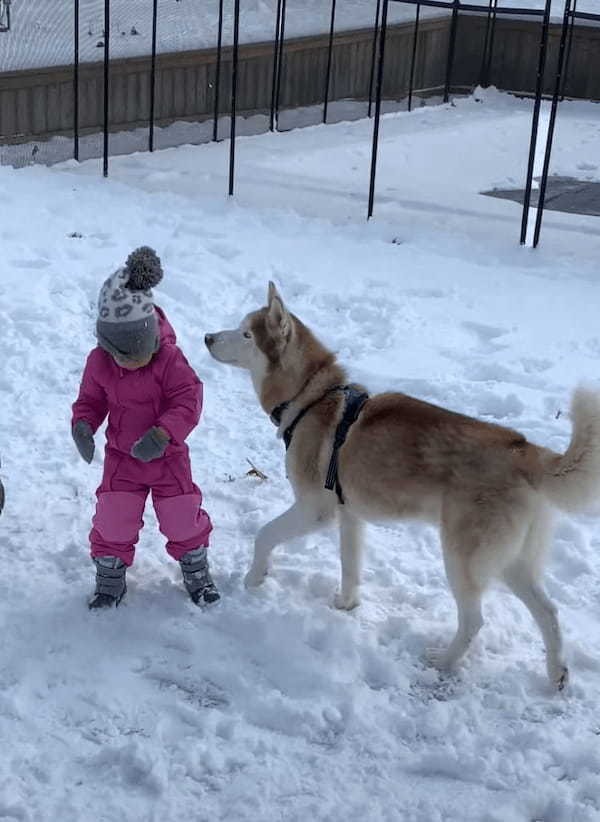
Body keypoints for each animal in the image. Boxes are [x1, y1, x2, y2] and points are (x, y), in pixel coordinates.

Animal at [205, 284, 600, 688]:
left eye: (246, 334)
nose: (207, 337)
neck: (311, 396)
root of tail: (524, 449)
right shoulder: (350, 516)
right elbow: (350, 567)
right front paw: (346, 605)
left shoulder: (315, 510)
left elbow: (264, 535)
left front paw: (254, 578)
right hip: (511, 561)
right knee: (549, 612)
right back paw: (557, 674)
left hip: (462, 556)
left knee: (475, 620)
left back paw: (443, 662)